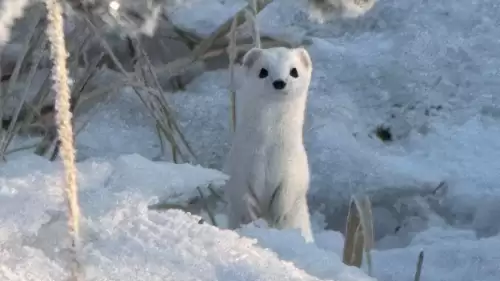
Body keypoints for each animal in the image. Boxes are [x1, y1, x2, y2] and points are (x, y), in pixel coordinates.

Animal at [225, 46, 314, 243]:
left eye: (294, 71)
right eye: (263, 71)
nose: (279, 82)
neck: (268, 151)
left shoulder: (295, 165)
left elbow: (290, 190)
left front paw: (277, 215)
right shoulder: (238, 164)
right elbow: (239, 192)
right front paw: (252, 215)